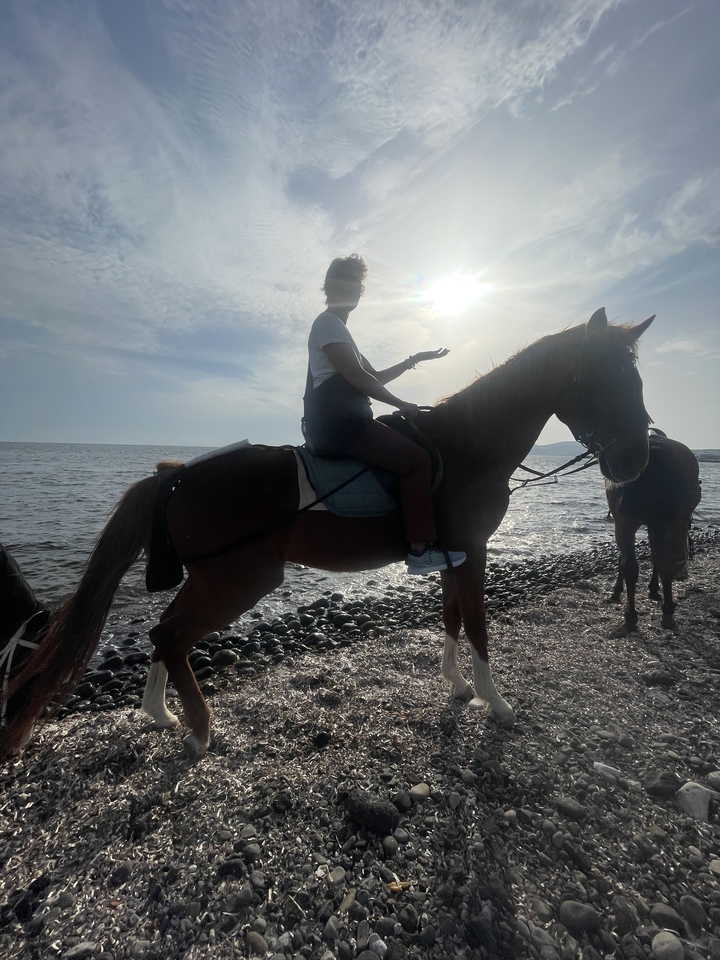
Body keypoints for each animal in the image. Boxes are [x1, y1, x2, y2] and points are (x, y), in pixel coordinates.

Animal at [1, 307, 654, 761]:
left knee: (166, 632)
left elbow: (450, 618)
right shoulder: (473, 552)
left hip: (217, 577)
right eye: (604, 378)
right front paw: (495, 702)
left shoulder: (452, 553)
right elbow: (478, 626)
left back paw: (162, 714)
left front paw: (456, 686)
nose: (635, 461)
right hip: (239, 580)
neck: (469, 444)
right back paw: (200, 730)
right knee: (170, 633)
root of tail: (179, 475)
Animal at [606, 430, 701, 631]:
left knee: (634, 567)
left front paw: (618, 591)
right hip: (673, 522)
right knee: (666, 562)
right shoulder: (655, 524)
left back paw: (632, 616)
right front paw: (654, 590)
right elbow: (656, 557)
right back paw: (667, 612)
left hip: (628, 524)